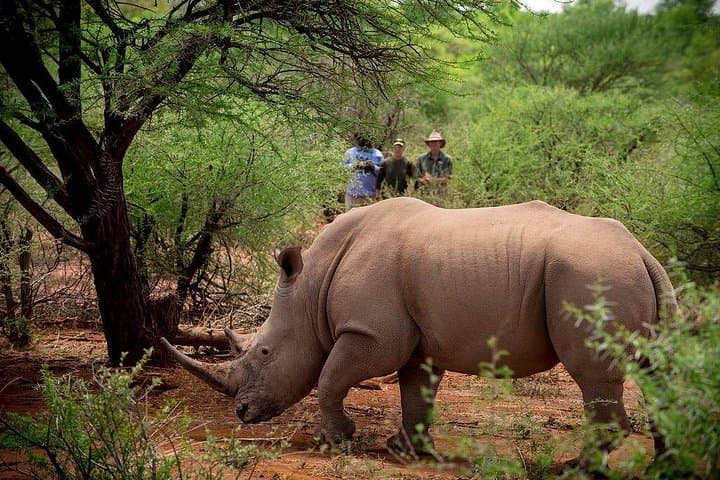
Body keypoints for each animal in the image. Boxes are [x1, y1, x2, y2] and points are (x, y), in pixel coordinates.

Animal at [162, 197, 676, 465]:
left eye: (264, 353)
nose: (243, 413)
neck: (310, 288)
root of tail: (641, 252)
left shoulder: (370, 334)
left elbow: (330, 378)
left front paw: (335, 441)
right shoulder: (416, 342)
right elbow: (416, 391)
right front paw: (405, 451)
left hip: (592, 274)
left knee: (592, 374)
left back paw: (576, 468)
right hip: (620, 273)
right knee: (655, 373)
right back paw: (663, 464)